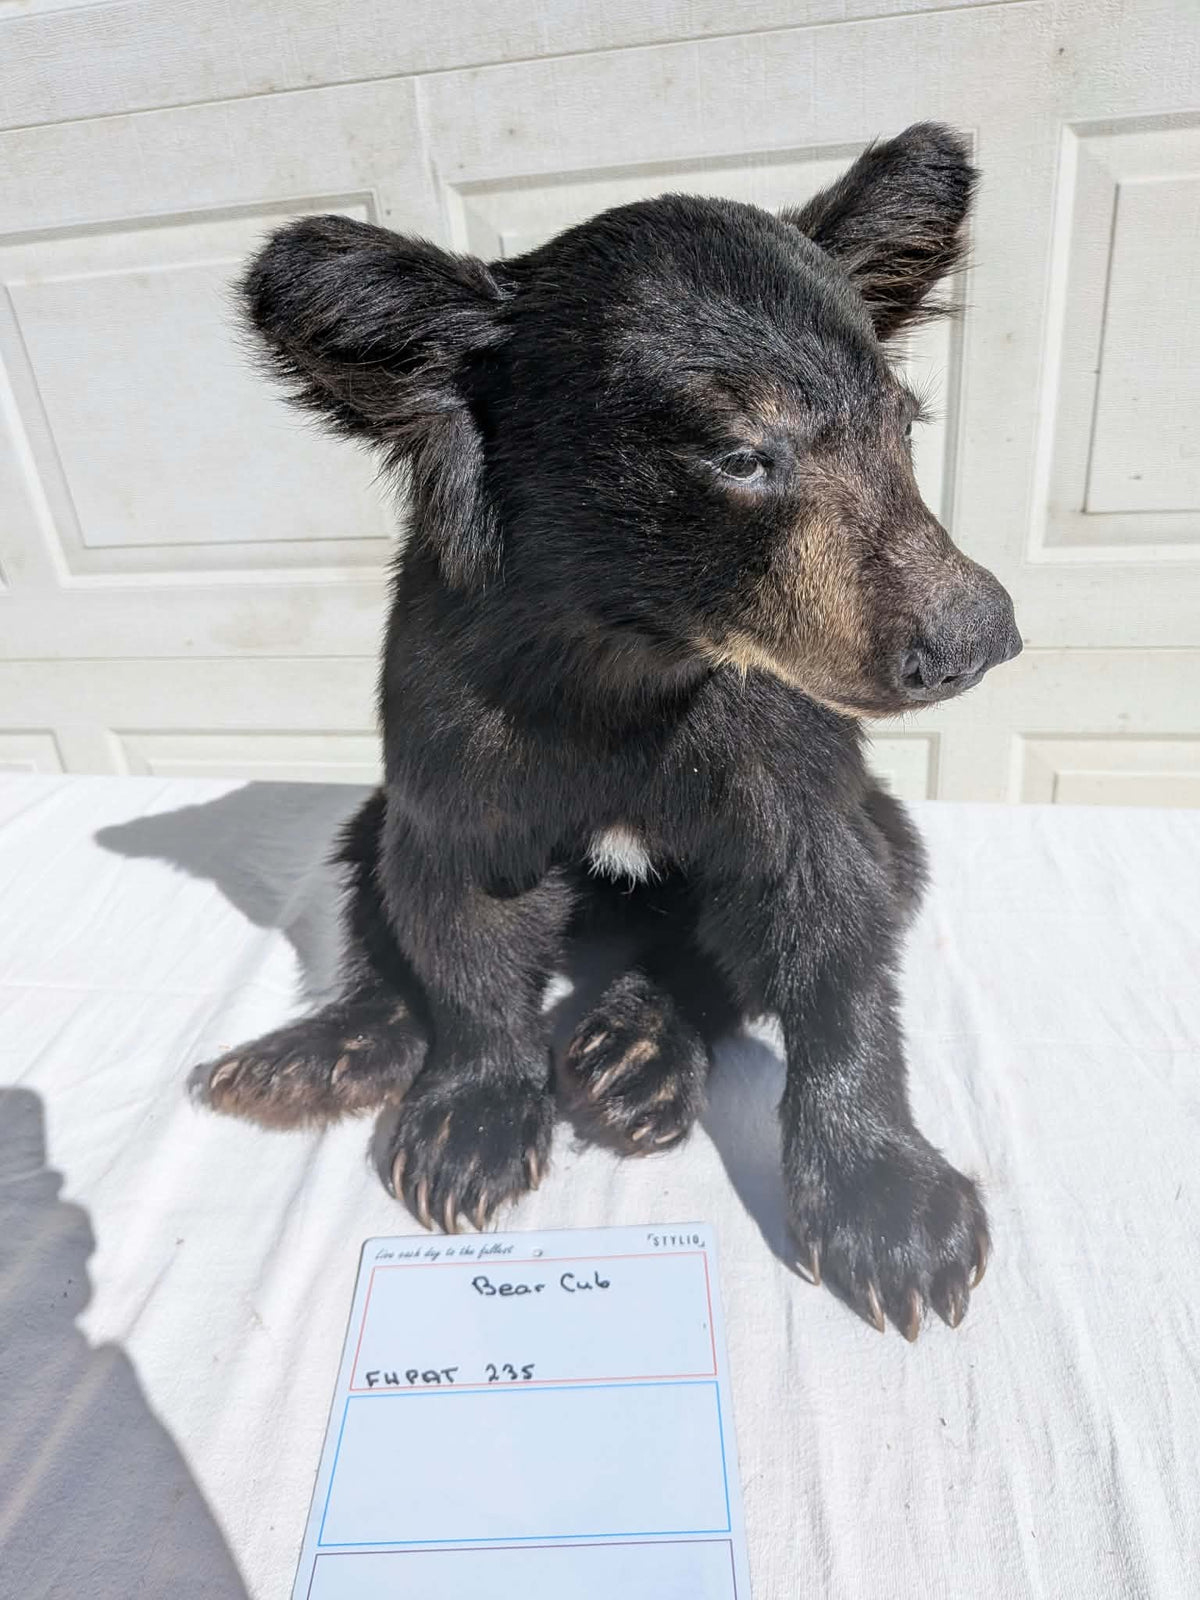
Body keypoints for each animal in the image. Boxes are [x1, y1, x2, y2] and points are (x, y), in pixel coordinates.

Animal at [199, 123, 1020, 1340]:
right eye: (739, 454)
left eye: (903, 428)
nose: (979, 636)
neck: (636, 658)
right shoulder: (459, 734)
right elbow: (464, 924)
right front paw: (469, 1127)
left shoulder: (786, 755)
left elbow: (831, 930)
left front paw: (890, 1212)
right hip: (374, 814)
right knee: (377, 889)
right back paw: (324, 1051)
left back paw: (637, 1051)